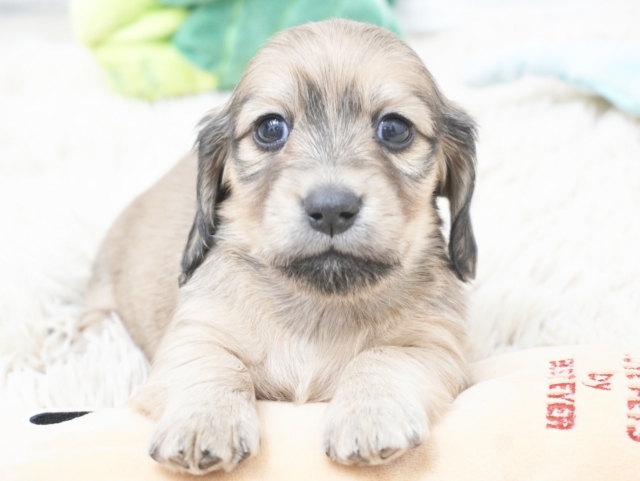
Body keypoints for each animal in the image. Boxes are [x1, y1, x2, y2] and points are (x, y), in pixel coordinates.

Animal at [81, 19, 477, 475]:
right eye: (270, 128)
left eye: (394, 129)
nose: (331, 208)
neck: (318, 306)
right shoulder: (195, 334)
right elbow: (217, 364)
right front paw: (204, 420)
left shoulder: (434, 345)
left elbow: (381, 357)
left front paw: (368, 415)